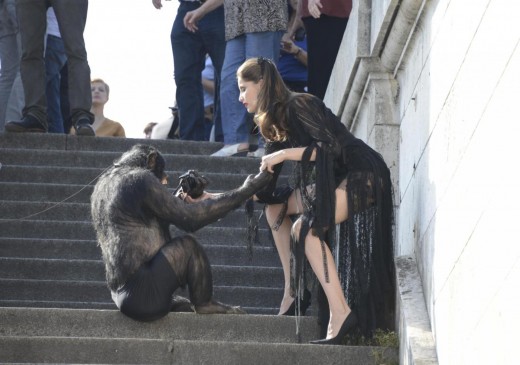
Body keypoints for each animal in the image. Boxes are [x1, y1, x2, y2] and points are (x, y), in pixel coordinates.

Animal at [91, 144, 270, 320]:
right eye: (161, 167)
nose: (165, 176)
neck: (125, 167)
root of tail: (118, 298)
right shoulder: (145, 183)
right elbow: (190, 217)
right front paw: (253, 184)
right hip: (145, 296)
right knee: (187, 244)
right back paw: (207, 305)